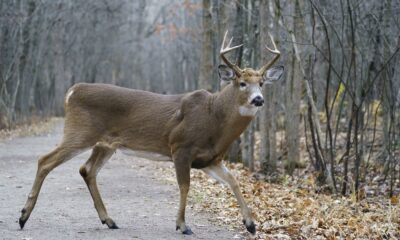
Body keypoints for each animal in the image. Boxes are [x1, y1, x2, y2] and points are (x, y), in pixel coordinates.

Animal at [17, 31, 282, 235]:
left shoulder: (210, 160)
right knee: (45, 160)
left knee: (87, 169)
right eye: (242, 83)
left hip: (105, 143)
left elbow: (234, 181)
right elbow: (184, 186)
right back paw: (23, 216)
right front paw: (182, 225)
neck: (213, 118)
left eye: (261, 83)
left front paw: (251, 224)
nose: (259, 100)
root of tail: (72, 91)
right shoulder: (180, 146)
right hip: (80, 131)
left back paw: (109, 220)